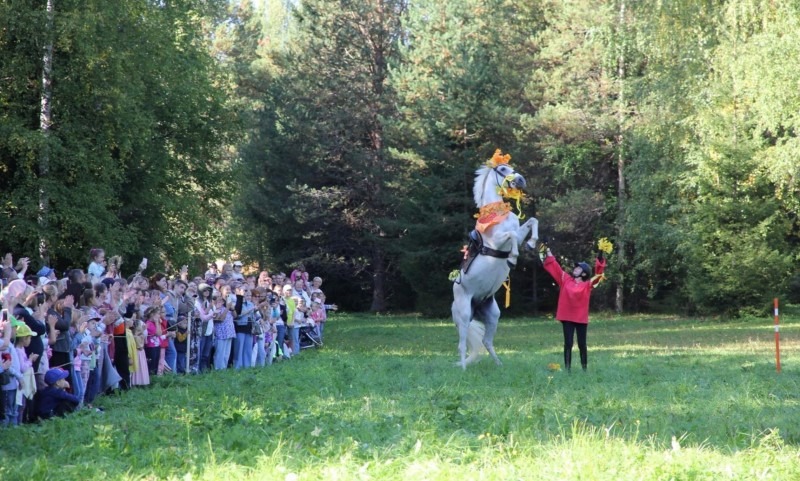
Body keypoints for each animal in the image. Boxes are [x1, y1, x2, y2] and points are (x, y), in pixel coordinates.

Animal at [454, 152, 540, 370]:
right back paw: (464, 369)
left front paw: (532, 243)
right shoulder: (499, 240)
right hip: (464, 314)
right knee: (462, 343)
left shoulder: (519, 232)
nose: (521, 180)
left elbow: (532, 221)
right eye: (502, 169)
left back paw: (499, 365)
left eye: (511, 167)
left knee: (486, 341)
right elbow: (511, 235)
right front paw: (512, 258)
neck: (496, 211)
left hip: (493, 315)